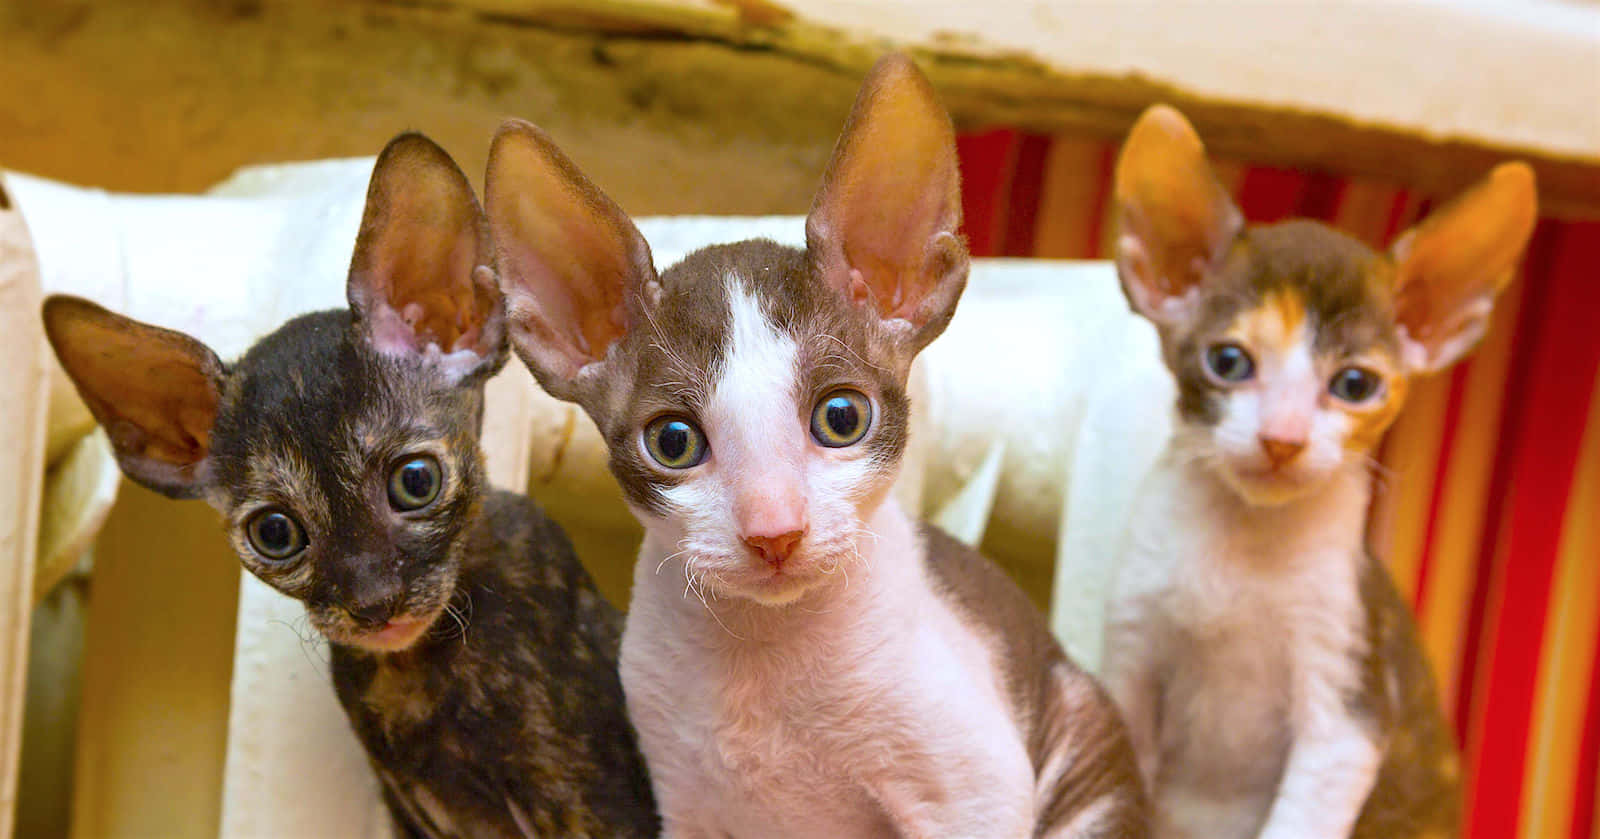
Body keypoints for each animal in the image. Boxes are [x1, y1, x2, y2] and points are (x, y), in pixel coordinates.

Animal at [42, 131, 656, 839]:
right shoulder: (407, 811)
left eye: (415, 482)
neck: (416, 670)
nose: (373, 603)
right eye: (275, 533)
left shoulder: (595, 799)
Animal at [476, 52, 1152, 839]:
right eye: (673, 441)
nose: (775, 532)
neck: (764, 653)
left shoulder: (974, 792)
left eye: (841, 418)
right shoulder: (686, 806)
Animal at [1100, 103, 1536, 839]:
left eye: (1355, 384)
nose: (1283, 438)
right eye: (1228, 362)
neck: (1245, 546)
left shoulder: (1348, 707)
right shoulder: (1129, 663)